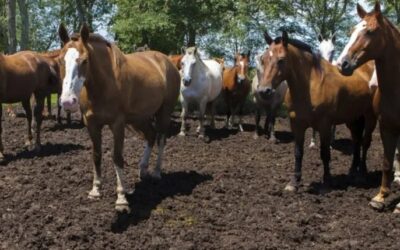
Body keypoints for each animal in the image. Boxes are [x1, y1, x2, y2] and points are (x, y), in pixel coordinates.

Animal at [57, 23, 180, 212]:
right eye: (60, 61)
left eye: (85, 61)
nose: (68, 101)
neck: (104, 85)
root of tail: (168, 62)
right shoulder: (92, 124)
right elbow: (97, 155)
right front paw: (95, 190)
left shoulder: (118, 124)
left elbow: (117, 157)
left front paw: (121, 198)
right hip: (140, 118)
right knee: (151, 136)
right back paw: (143, 170)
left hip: (163, 113)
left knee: (161, 139)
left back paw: (156, 172)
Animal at [260, 30, 378, 192]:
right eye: (263, 59)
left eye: (281, 60)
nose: (263, 90)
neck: (310, 85)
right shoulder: (297, 124)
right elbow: (298, 152)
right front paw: (294, 182)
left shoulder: (325, 125)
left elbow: (325, 153)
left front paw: (327, 182)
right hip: (353, 118)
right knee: (356, 141)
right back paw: (352, 172)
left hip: (370, 117)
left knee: (365, 143)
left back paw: (362, 175)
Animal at [338, 2, 400, 213]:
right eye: (351, 30)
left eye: (371, 31)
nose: (342, 63)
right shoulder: (387, 126)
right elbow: (387, 162)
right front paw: (380, 197)